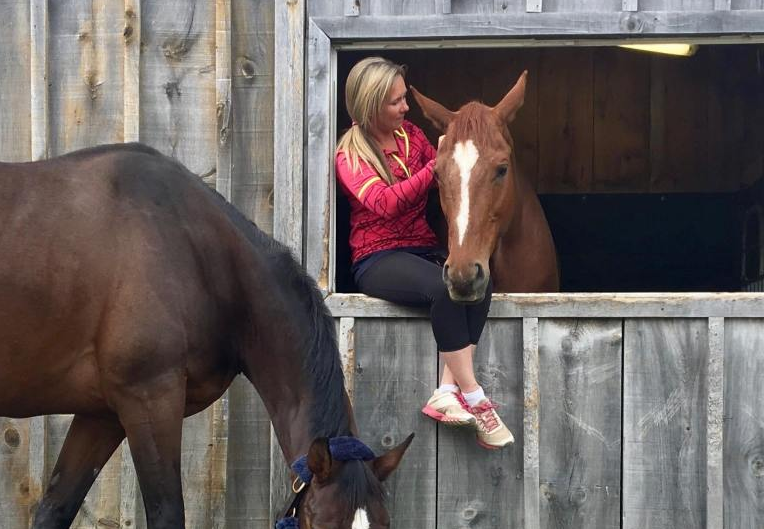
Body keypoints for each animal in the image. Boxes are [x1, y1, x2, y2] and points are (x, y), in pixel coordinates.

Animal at [0, 143, 412, 529]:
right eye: (322, 524)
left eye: (385, 523)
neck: (200, 254)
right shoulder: (150, 400)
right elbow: (167, 512)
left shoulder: (101, 415)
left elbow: (55, 508)